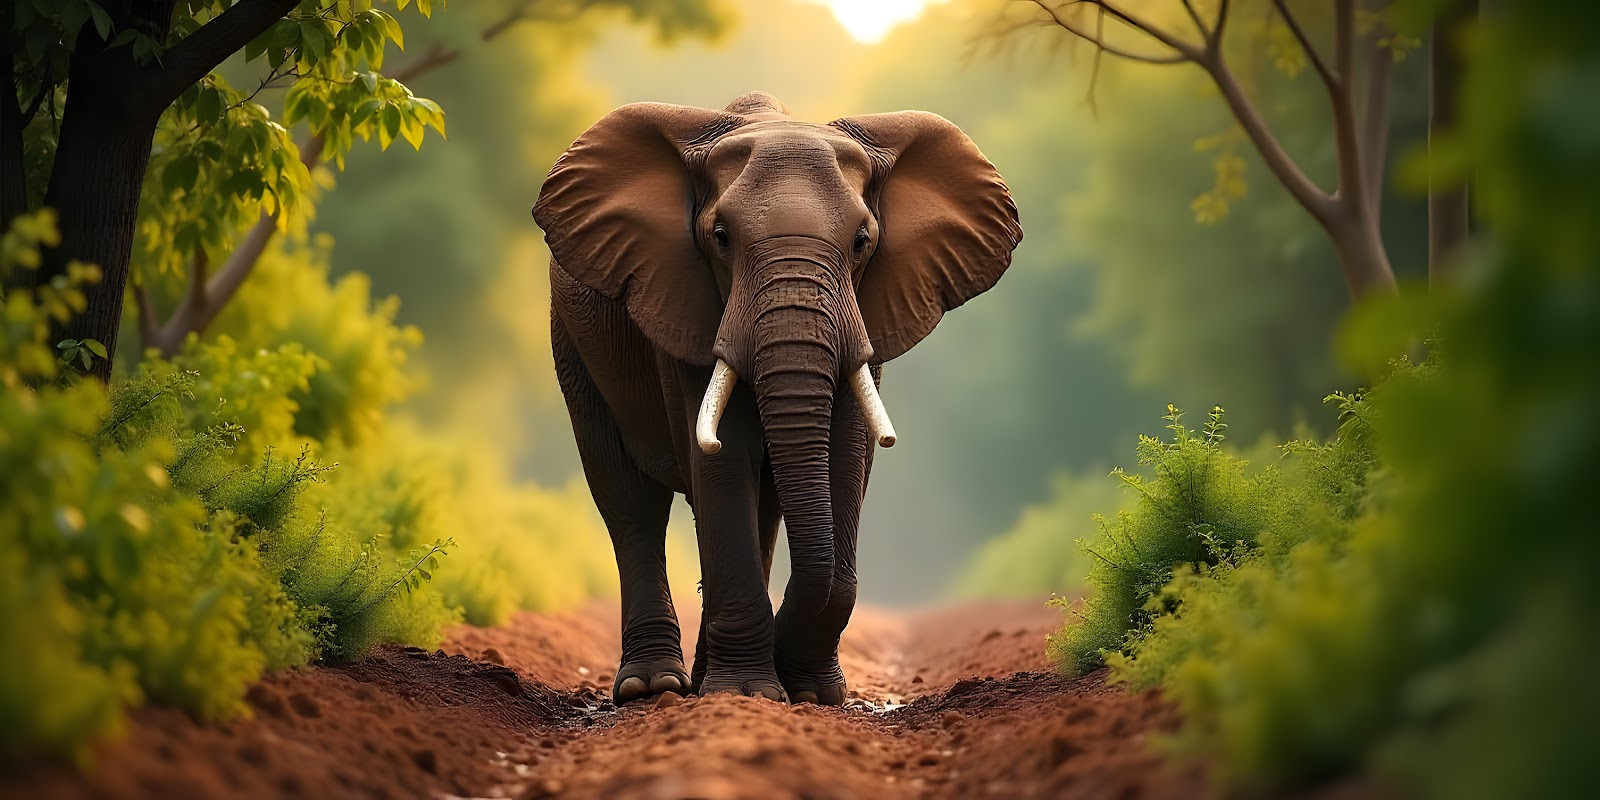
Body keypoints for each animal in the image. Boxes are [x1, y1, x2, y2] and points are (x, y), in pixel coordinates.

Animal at [532, 91, 1021, 705]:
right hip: (572, 346)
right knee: (630, 500)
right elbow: (724, 460)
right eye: (720, 237)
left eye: (863, 241)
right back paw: (655, 688)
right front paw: (747, 697)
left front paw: (809, 695)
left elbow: (844, 458)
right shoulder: (682, 301)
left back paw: (700, 681)